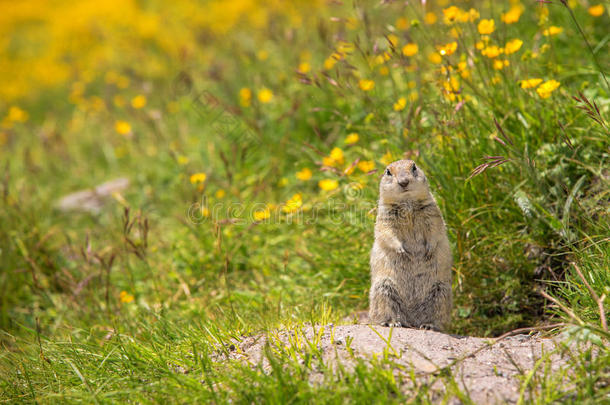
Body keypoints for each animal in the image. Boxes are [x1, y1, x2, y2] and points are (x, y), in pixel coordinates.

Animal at [366, 159, 452, 330]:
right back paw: (392, 322)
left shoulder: (432, 211)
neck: (407, 203)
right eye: (388, 172)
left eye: (414, 167)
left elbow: (435, 229)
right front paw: (401, 250)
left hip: (441, 291)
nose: (404, 182)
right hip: (383, 289)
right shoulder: (385, 216)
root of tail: (412, 321)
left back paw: (428, 325)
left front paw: (429, 249)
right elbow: (387, 232)